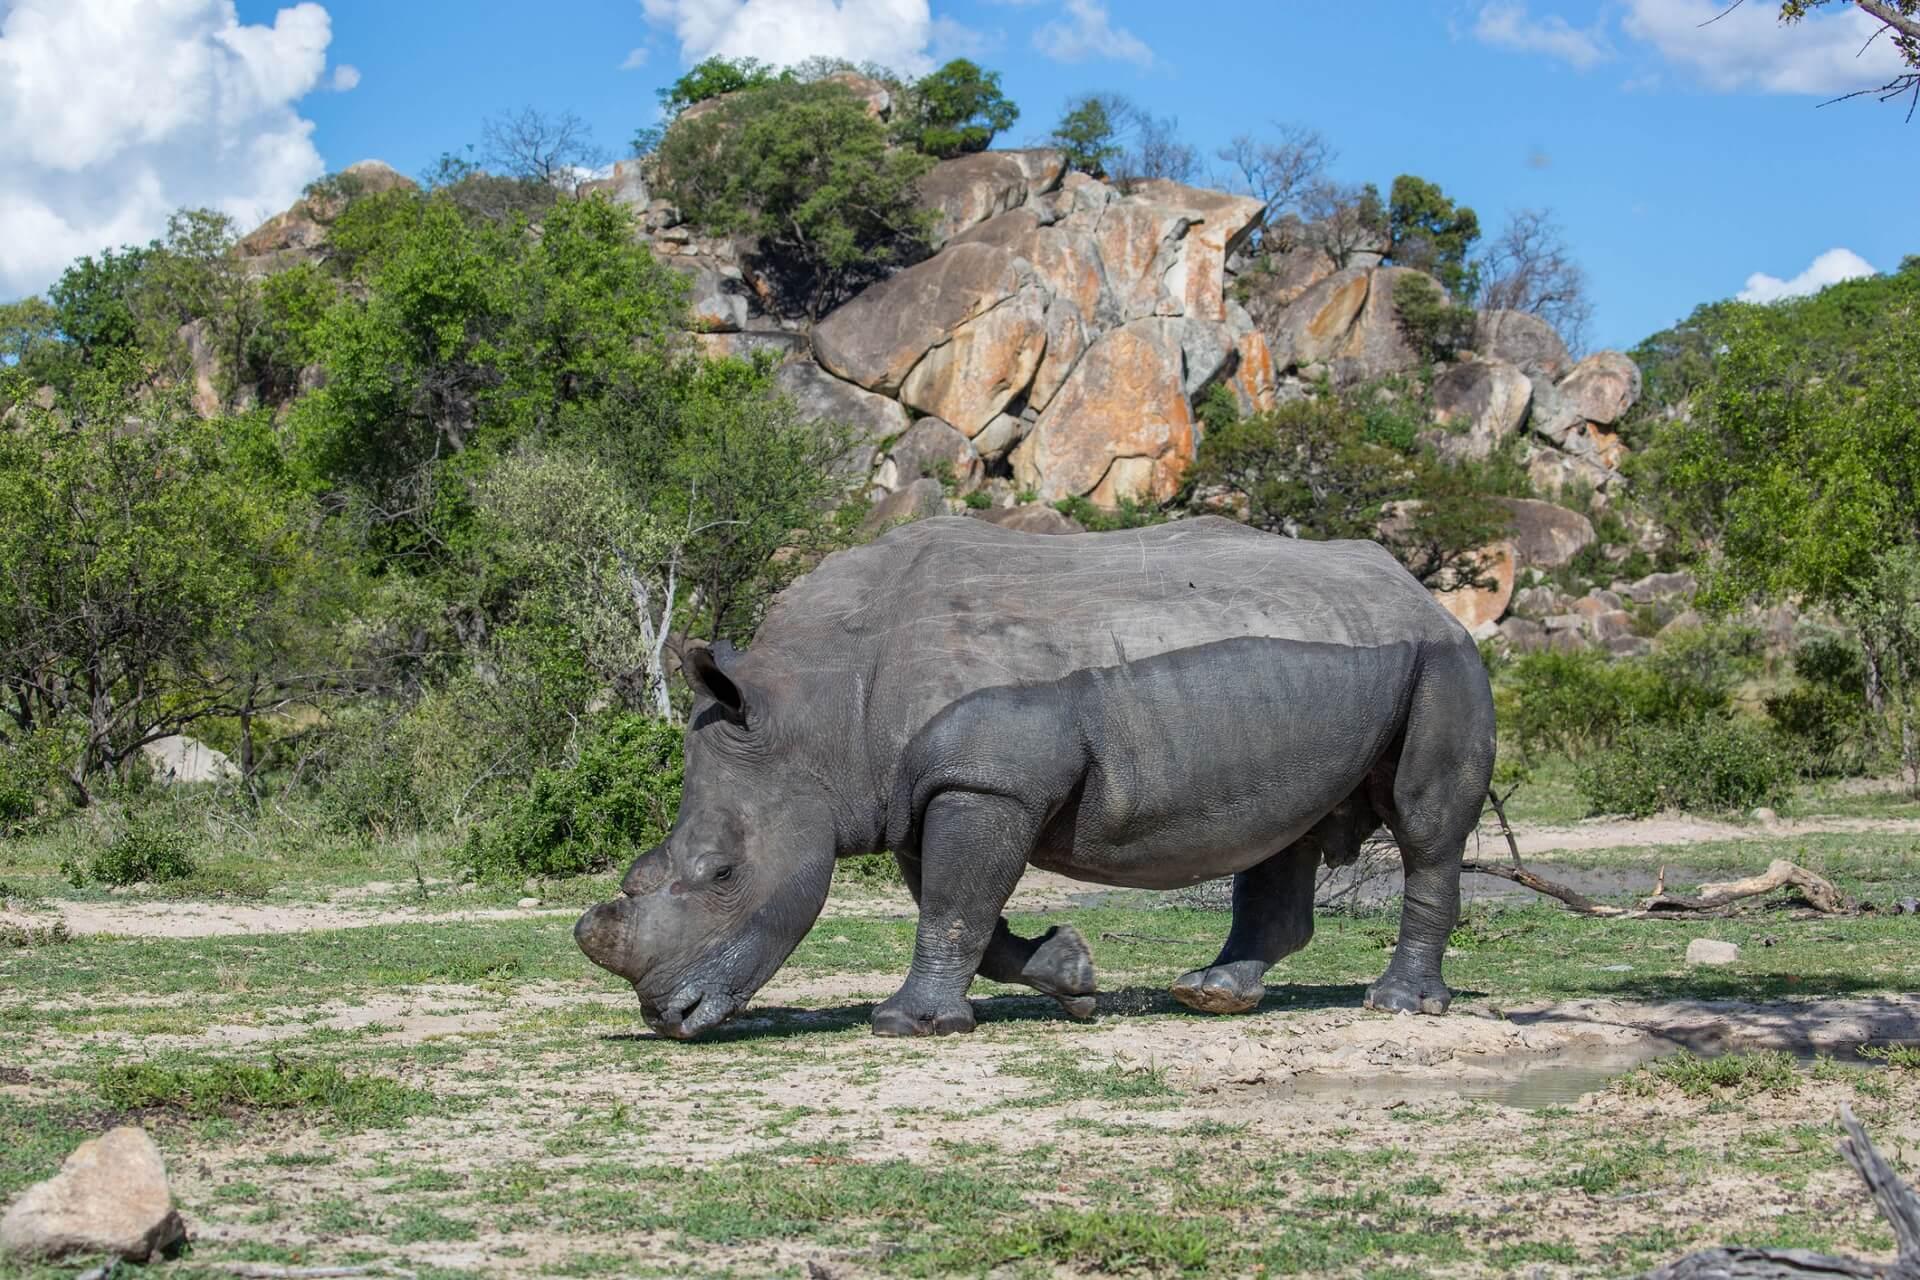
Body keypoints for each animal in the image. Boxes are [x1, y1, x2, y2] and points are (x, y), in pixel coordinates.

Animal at [575, 516, 1496, 1038]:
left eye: (723, 875)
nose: (666, 1019)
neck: (817, 710)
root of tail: (1421, 591)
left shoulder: (984, 782)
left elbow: (953, 907)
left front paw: (906, 1026)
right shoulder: (929, 790)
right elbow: (966, 915)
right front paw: (1074, 979)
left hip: (1445, 659)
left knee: (1425, 826)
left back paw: (1399, 1005)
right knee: (1286, 828)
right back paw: (1213, 995)